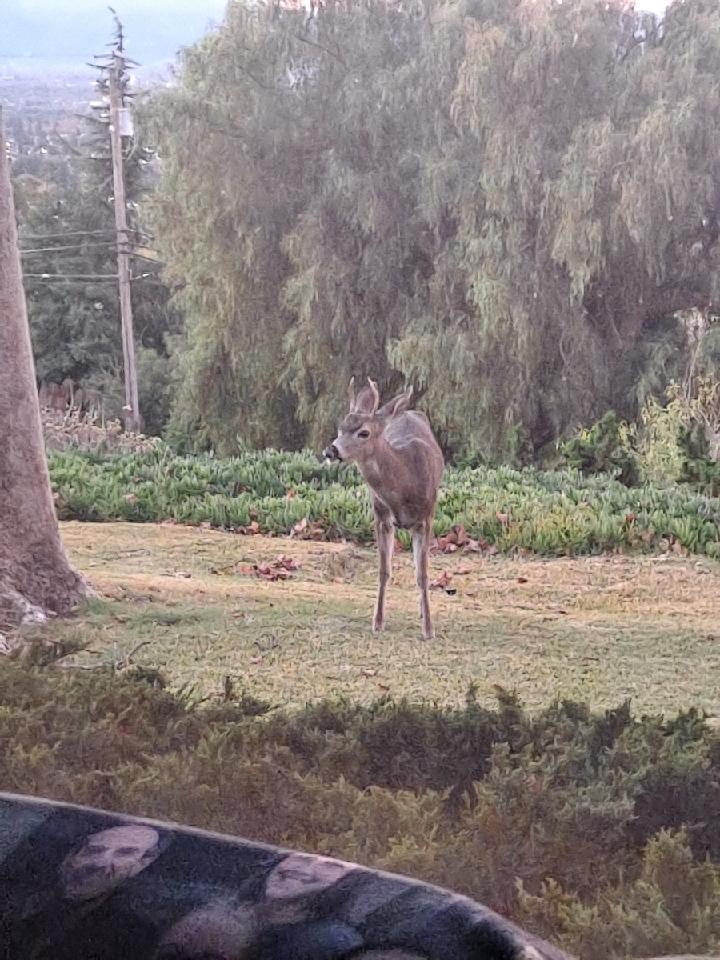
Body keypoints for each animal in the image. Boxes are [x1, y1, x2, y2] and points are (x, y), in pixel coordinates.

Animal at [322, 378, 444, 640]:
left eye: (363, 432)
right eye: (340, 428)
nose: (330, 451)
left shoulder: (426, 517)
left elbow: (422, 574)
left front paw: (429, 629)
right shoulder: (380, 515)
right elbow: (383, 570)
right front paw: (377, 622)